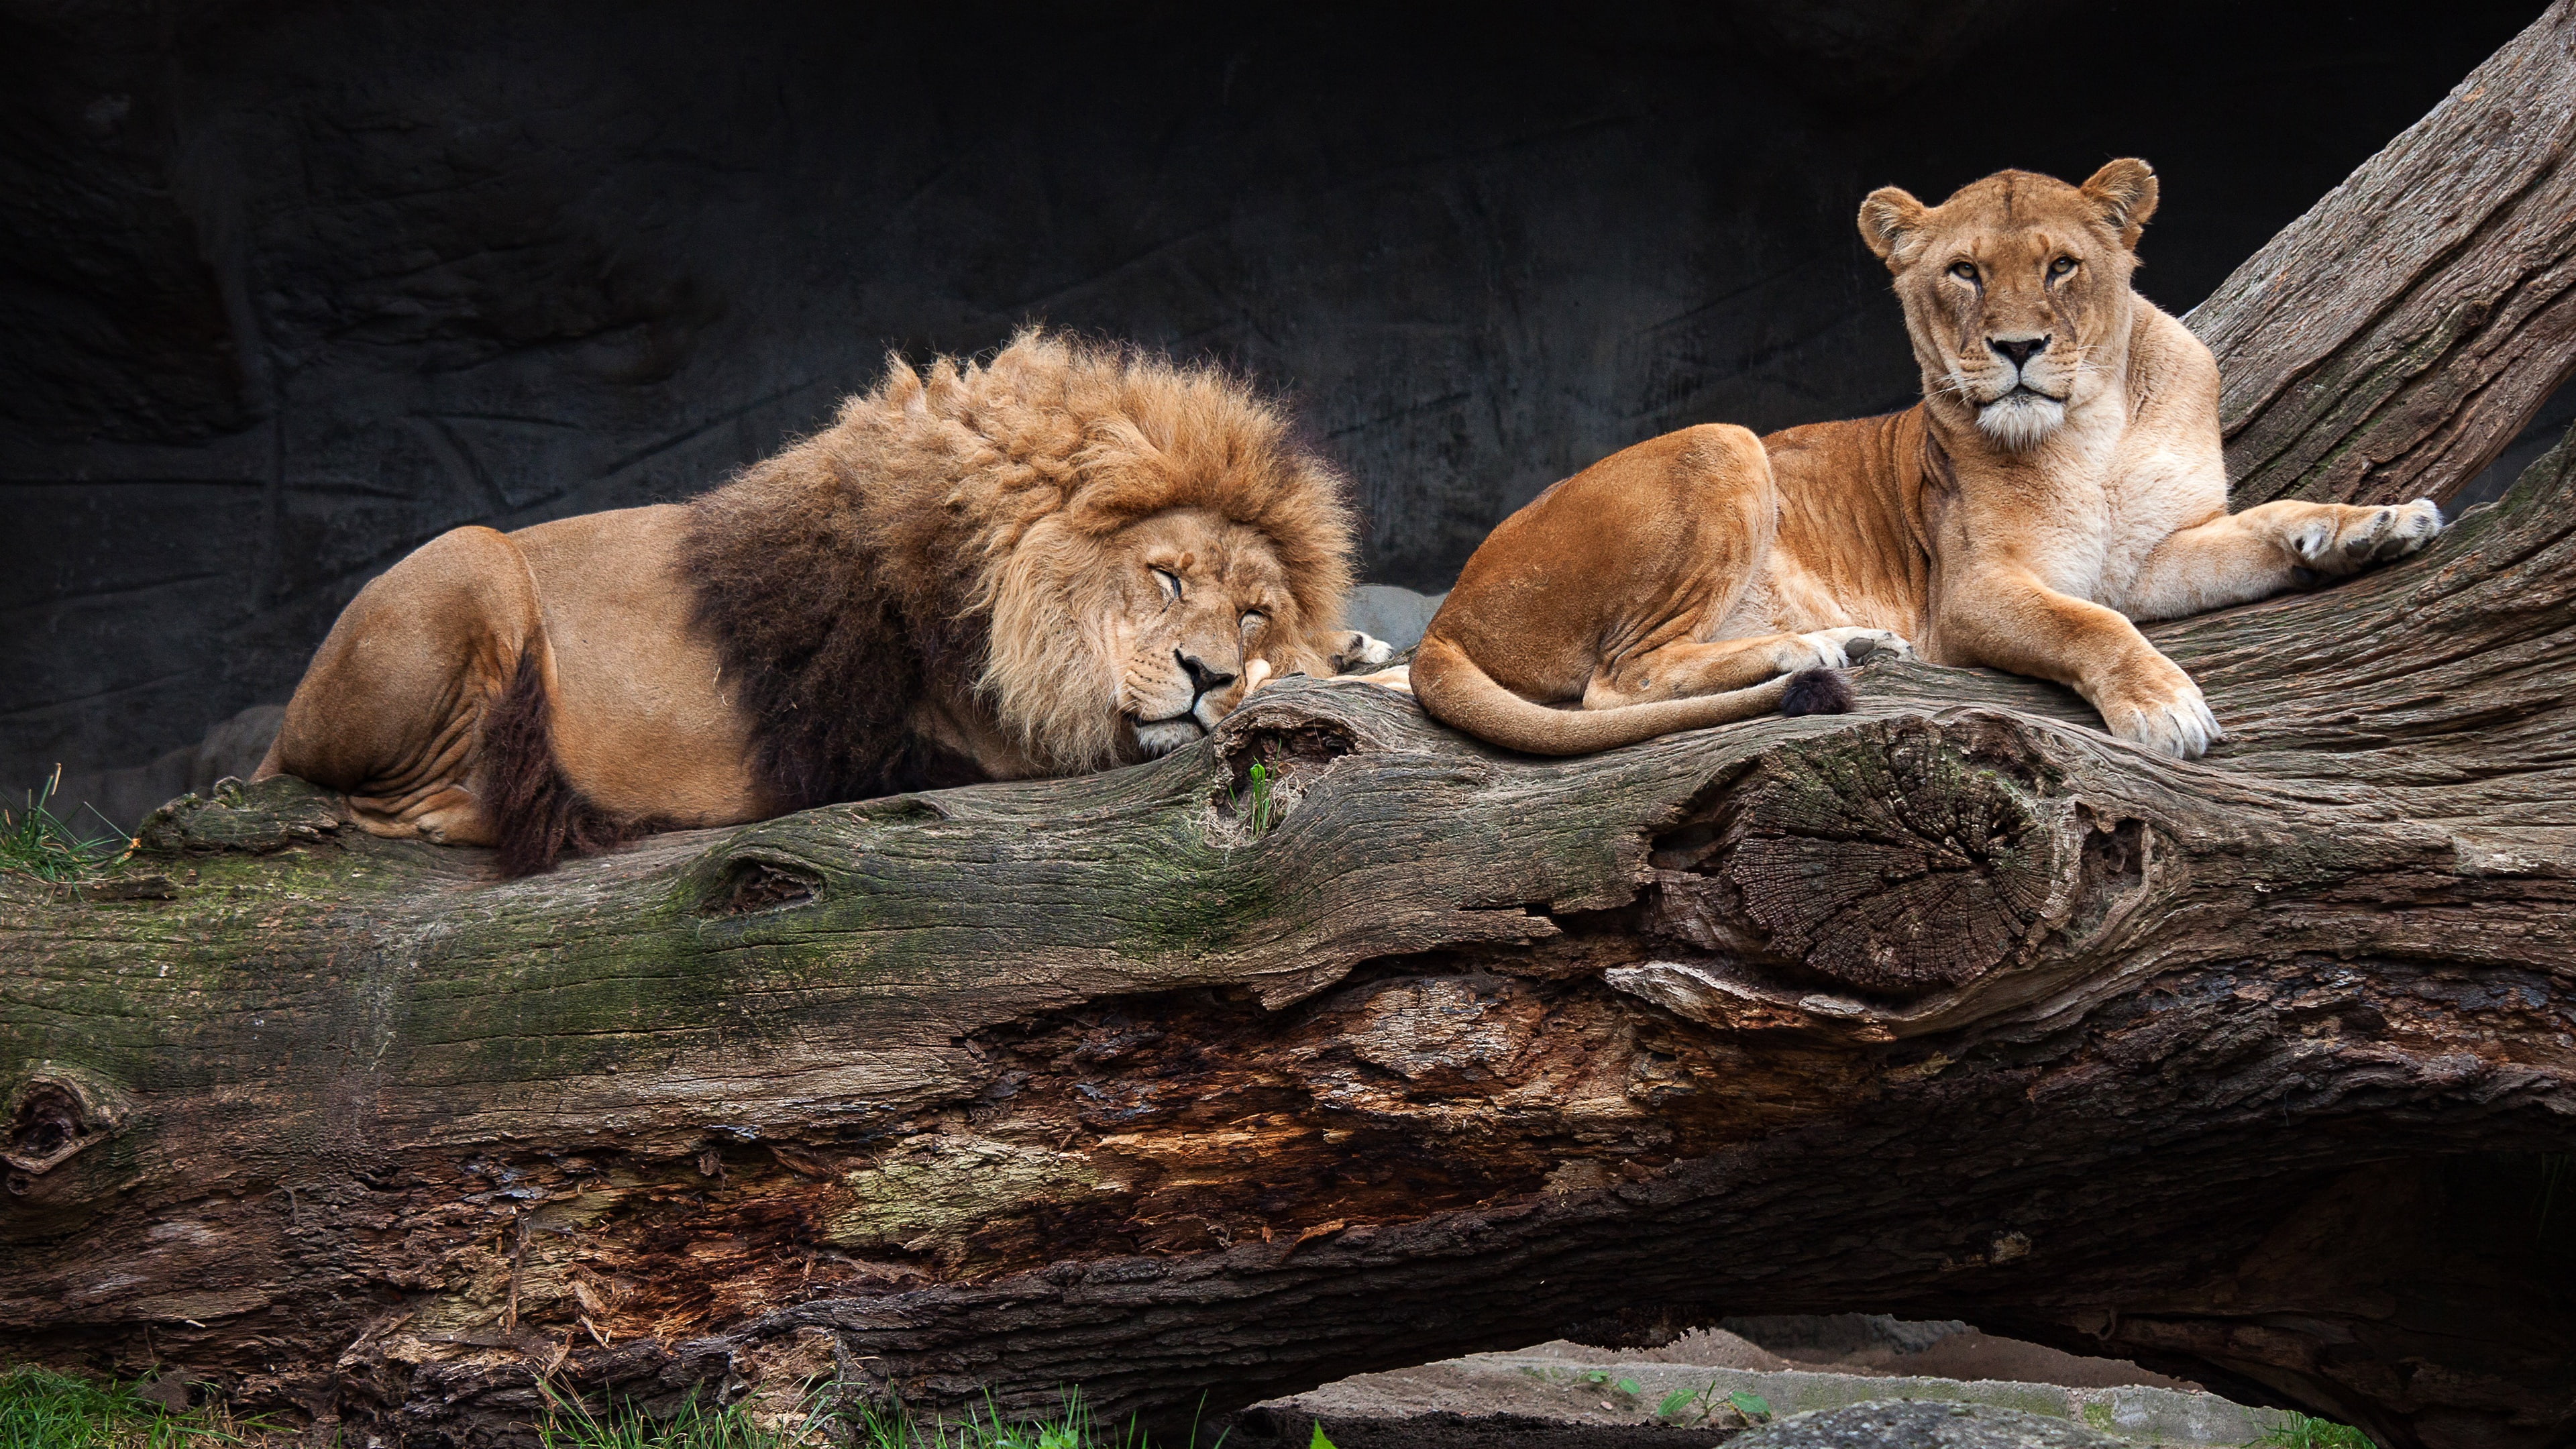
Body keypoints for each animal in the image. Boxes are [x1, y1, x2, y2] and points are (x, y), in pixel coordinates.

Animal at [254, 328, 1389, 874]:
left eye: (1252, 611)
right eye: (1165, 576)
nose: (1204, 674)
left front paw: (1351, 653)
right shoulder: (983, 744)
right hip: (475, 557)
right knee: (386, 801)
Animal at [1409, 159, 2444, 758]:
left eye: (2062, 266)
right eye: (1965, 273)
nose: (2020, 348)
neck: (2093, 430)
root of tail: (1445, 617)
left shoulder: (2149, 559)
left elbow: (2269, 523)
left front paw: (2376, 525)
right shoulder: (1975, 593)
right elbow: (2092, 627)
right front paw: (2164, 706)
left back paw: (1855, 639)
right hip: (1723, 441)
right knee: (1616, 681)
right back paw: (1813, 647)